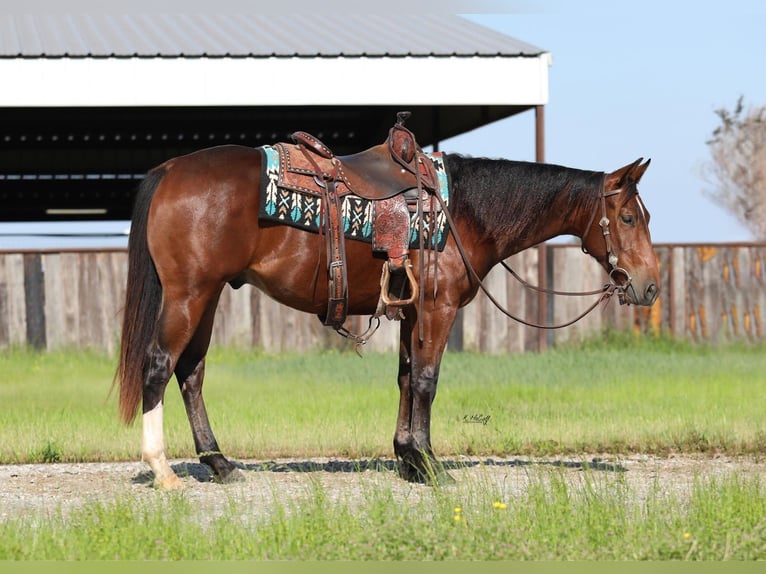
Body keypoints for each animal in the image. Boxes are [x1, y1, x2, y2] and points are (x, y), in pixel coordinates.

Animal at [114, 140, 660, 490]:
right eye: (628, 217)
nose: (649, 285)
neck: (461, 212)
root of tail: (170, 169)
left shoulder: (412, 310)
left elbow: (404, 377)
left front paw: (407, 458)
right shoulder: (438, 308)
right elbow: (426, 381)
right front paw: (430, 463)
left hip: (205, 298)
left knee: (191, 373)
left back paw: (221, 463)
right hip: (189, 295)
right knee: (159, 366)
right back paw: (163, 470)